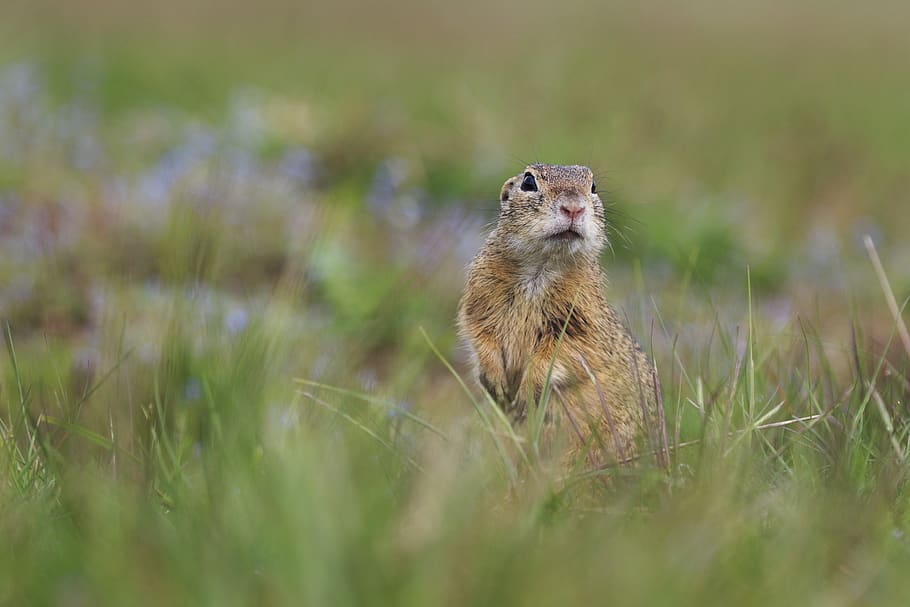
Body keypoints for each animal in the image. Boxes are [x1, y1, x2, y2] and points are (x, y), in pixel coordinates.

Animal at [457, 163, 659, 468]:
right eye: (529, 182)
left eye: (593, 187)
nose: (573, 208)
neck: (542, 266)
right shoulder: (479, 297)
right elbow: (479, 333)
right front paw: (497, 384)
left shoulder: (583, 319)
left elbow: (567, 351)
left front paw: (526, 390)